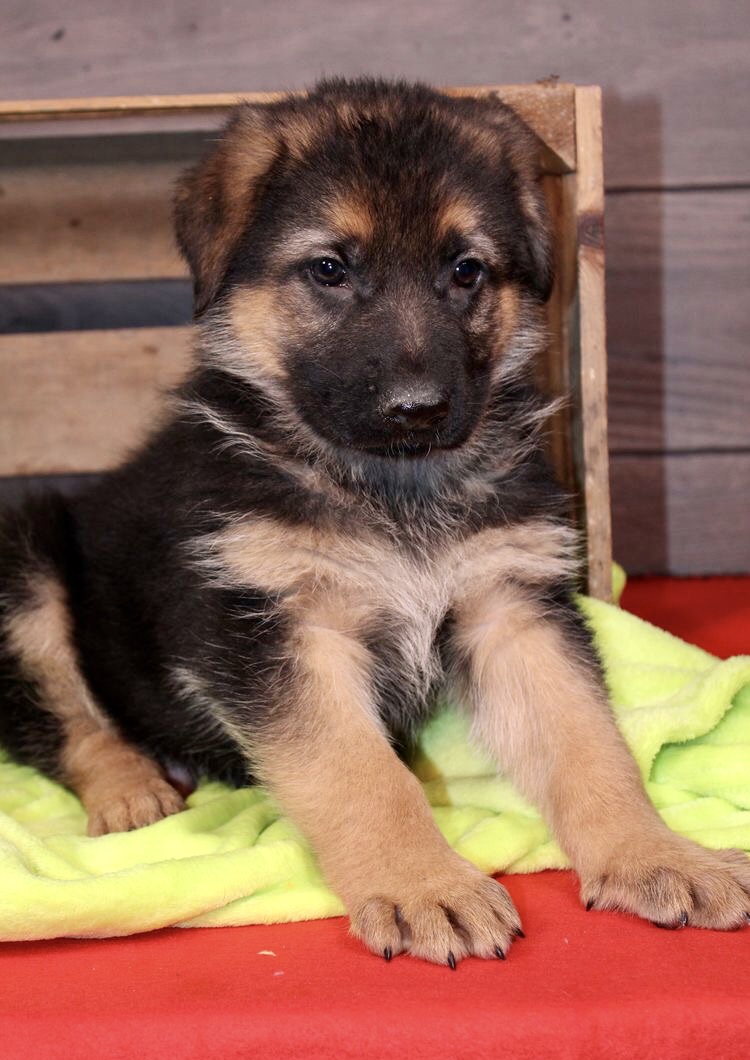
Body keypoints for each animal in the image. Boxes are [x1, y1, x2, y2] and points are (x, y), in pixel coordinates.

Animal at [1, 78, 750, 966]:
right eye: (329, 269)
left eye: (465, 270)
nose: (416, 409)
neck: (394, 487)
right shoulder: (281, 631)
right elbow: (360, 774)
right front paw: (424, 885)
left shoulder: (514, 609)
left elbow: (589, 743)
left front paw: (654, 853)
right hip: (25, 559)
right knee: (62, 720)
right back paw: (131, 787)